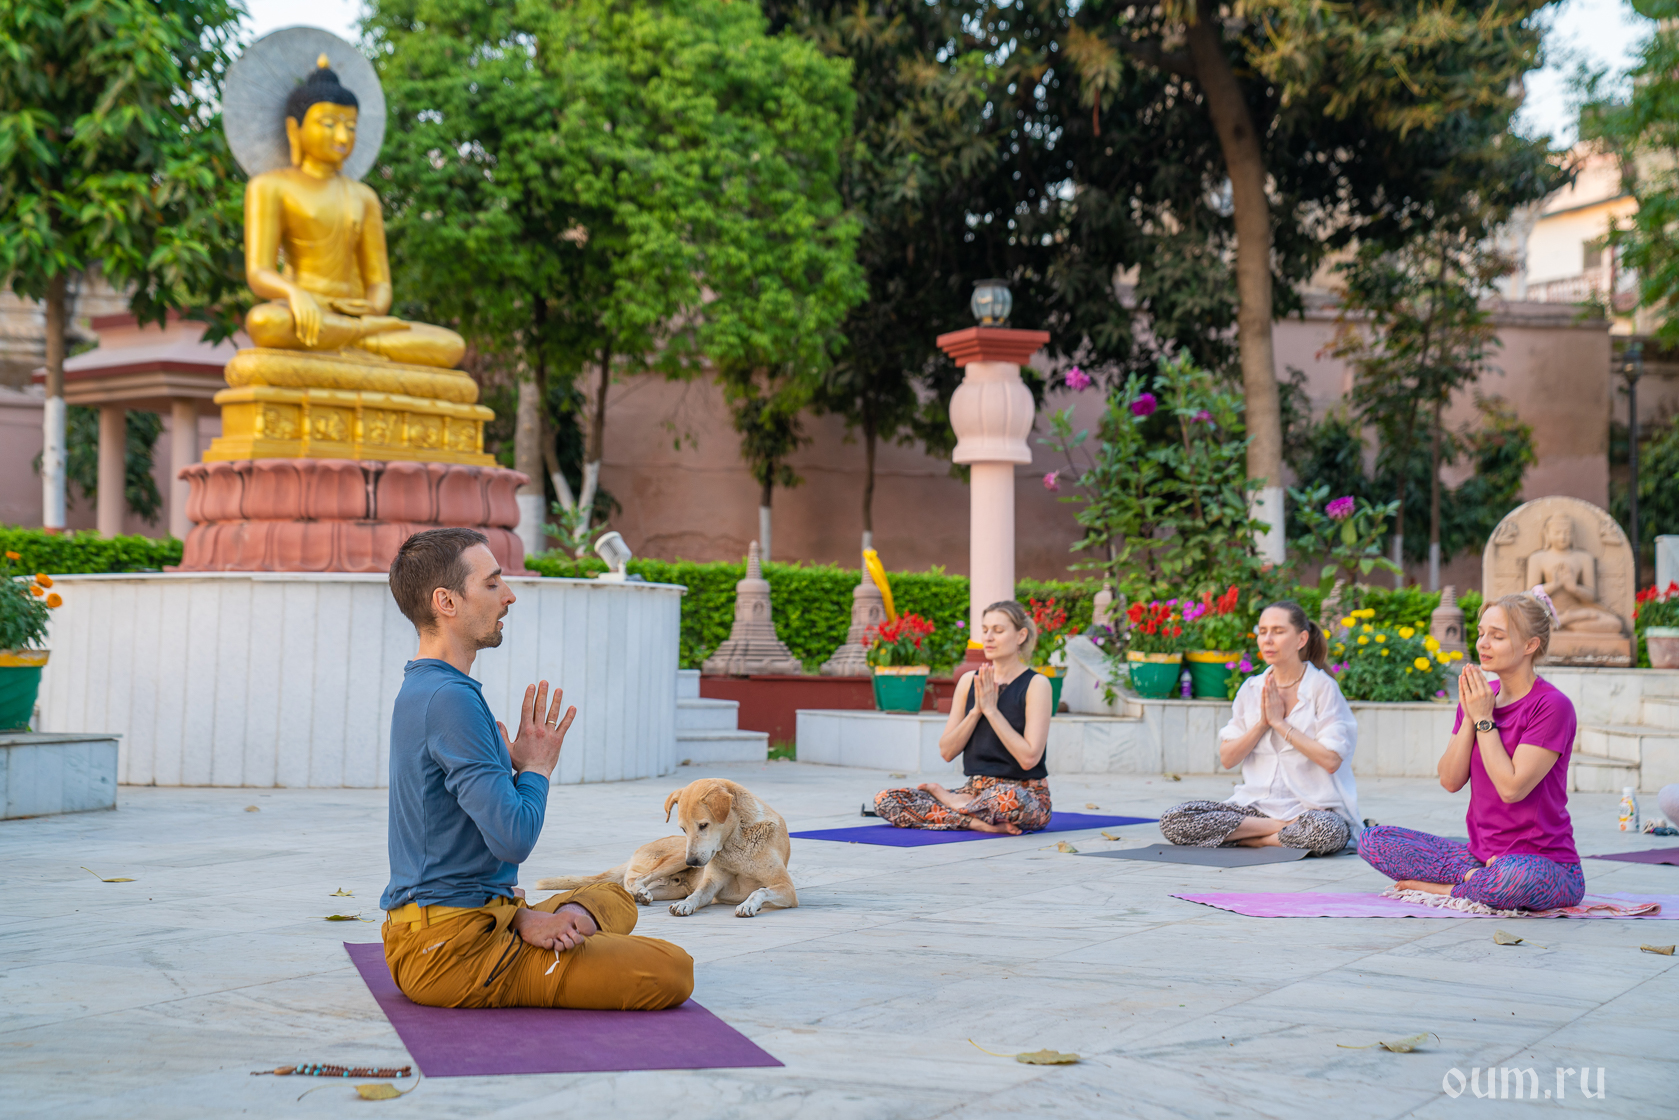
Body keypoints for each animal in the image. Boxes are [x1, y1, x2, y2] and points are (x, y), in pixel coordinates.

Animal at [533, 778, 798, 918]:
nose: (693, 863)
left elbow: (760, 890)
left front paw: (748, 904)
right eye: (683, 829)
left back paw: (640, 896)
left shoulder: (787, 889)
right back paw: (640, 892)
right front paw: (686, 905)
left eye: (704, 825)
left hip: (673, 878)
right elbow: (697, 894)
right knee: (634, 878)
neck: (736, 842)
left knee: (633, 886)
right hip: (676, 856)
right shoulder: (711, 883)